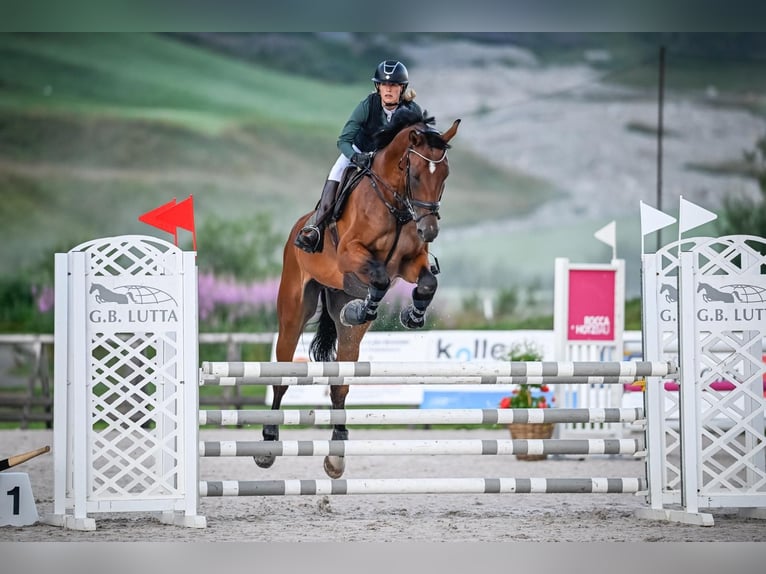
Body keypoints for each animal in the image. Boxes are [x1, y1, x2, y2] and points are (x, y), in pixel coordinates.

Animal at [258, 109, 462, 482]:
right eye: (414, 173)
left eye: (445, 175)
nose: (429, 230)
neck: (396, 204)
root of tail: (297, 226)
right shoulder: (351, 255)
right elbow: (378, 278)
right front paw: (366, 307)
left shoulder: (410, 263)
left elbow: (426, 283)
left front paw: (412, 314)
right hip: (293, 310)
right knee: (280, 373)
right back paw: (267, 442)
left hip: (347, 332)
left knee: (340, 383)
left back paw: (336, 454)